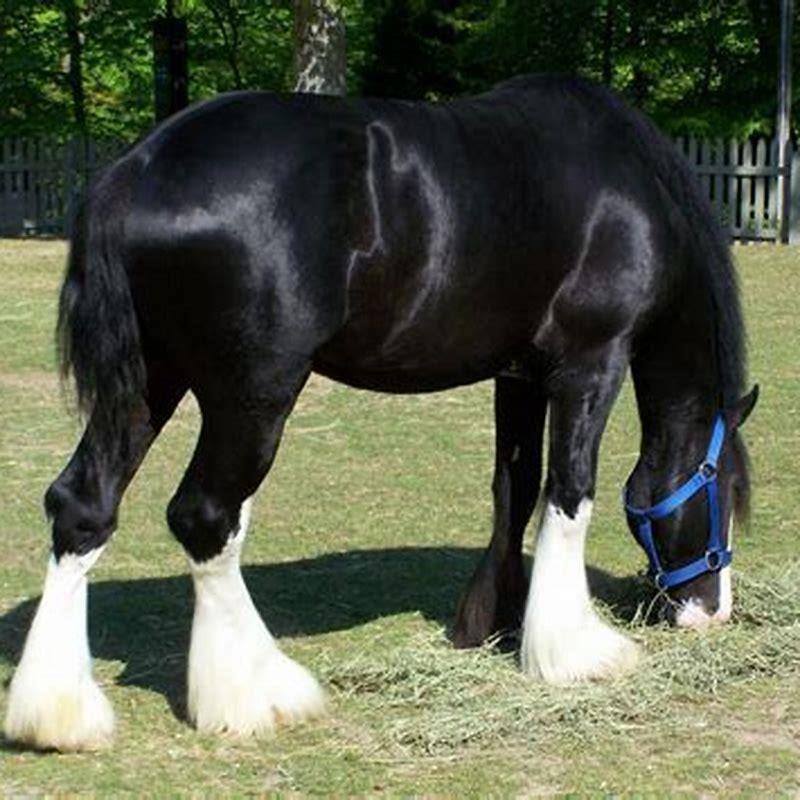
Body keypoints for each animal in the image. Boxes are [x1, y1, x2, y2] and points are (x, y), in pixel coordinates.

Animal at [4, 74, 757, 752]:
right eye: (725, 490)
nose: (712, 611)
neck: (622, 188)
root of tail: (138, 170)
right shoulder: (588, 364)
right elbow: (569, 495)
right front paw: (574, 651)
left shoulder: (519, 374)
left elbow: (513, 490)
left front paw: (491, 623)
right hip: (253, 394)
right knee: (205, 516)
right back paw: (259, 694)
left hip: (149, 380)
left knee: (82, 504)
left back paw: (58, 715)